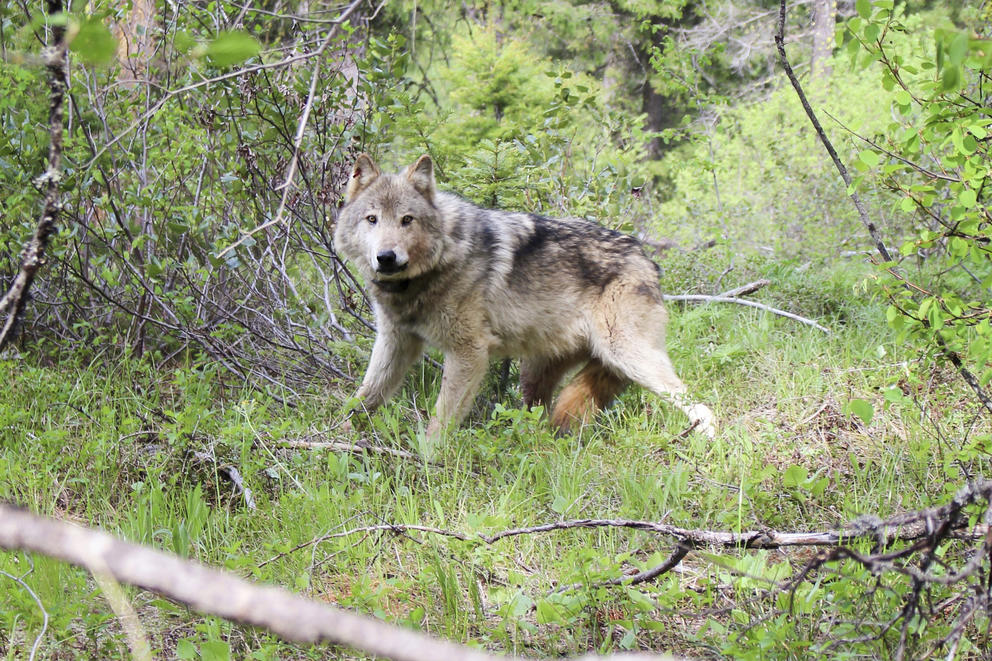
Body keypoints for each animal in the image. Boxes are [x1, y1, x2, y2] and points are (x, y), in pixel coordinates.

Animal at [334, 155, 712, 438]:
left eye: (407, 220)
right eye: (372, 219)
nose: (386, 257)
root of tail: (647, 259)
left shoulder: (469, 352)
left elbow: (440, 422)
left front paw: (429, 462)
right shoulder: (395, 342)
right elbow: (362, 398)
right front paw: (335, 438)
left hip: (629, 358)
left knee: (700, 404)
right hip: (536, 375)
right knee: (539, 419)